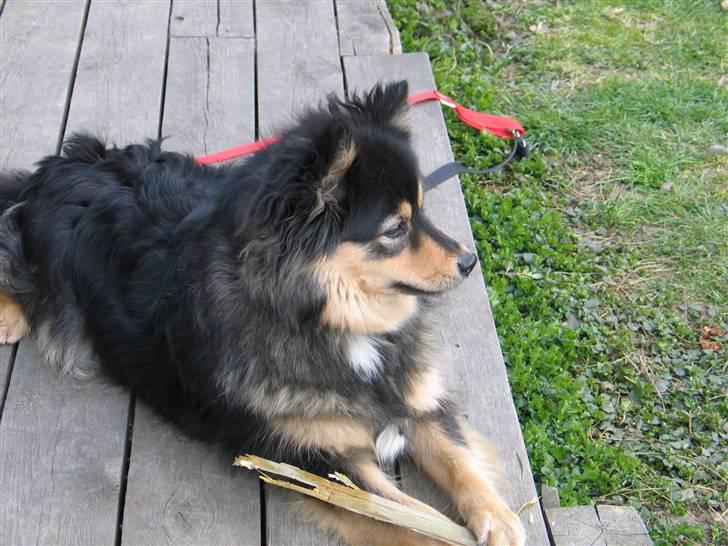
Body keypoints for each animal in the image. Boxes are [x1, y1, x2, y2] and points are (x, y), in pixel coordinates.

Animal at [0, 81, 524, 544]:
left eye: (422, 209)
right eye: (395, 229)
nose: (468, 261)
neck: (328, 322)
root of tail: (73, 161)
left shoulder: (416, 399)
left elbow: (460, 462)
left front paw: (500, 519)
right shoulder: (317, 462)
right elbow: (415, 520)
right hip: (54, 277)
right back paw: (10, 314)